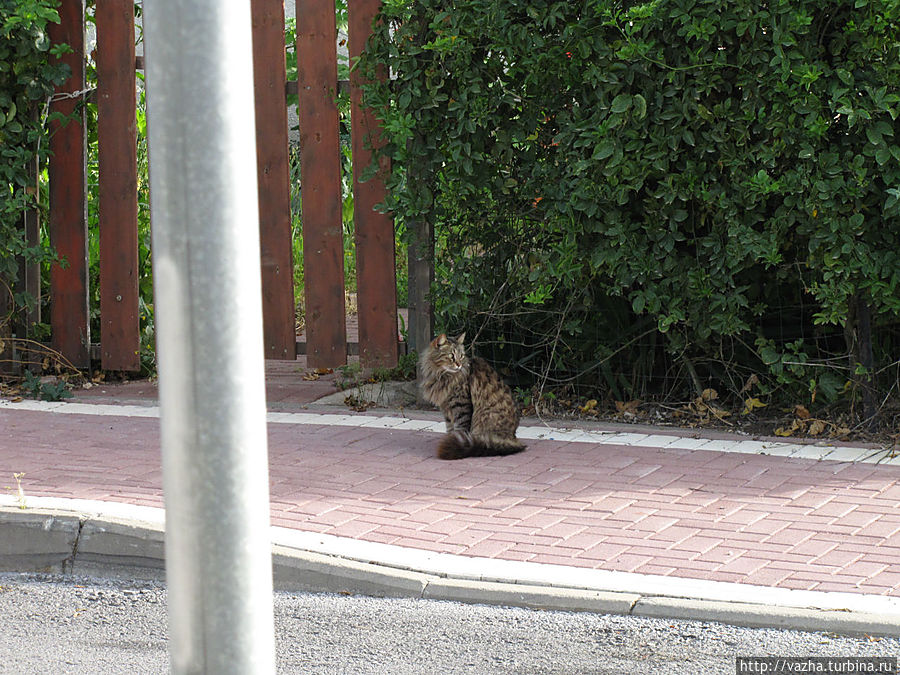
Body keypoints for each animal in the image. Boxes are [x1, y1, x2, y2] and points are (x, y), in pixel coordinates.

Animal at [418, 332, 524, 460]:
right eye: (451, 356)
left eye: (461, 356)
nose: (459, 365)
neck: (441, 375)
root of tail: (512, 438)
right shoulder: (446, 409)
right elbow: (450, 428)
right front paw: (450, 439)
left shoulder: (460, 405)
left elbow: (460, 429)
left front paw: (455, 441)